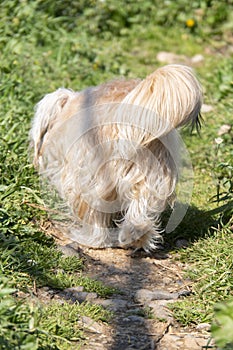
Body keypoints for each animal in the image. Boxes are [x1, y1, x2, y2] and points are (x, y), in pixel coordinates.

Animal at [30, 65, 202, 252]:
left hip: (90, 179)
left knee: (96, 220)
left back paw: (89, 238)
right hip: (152, 176)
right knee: (139, 211)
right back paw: (135, 237)